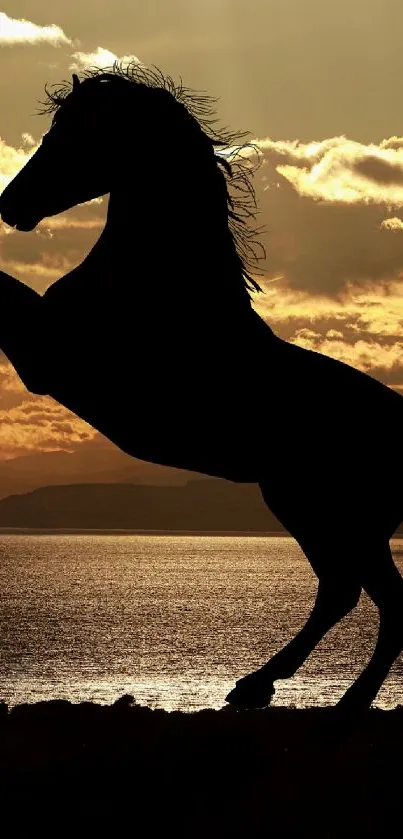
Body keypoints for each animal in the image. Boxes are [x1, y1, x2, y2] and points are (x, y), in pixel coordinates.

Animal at [0, 62, 403, 712]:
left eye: (73, 133)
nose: (10, 205)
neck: (160, 284)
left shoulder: (47, 357)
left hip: (337, 513)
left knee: (379, 601)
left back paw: (340, 704)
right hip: (312, 508)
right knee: (344, 592)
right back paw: (258, 685)